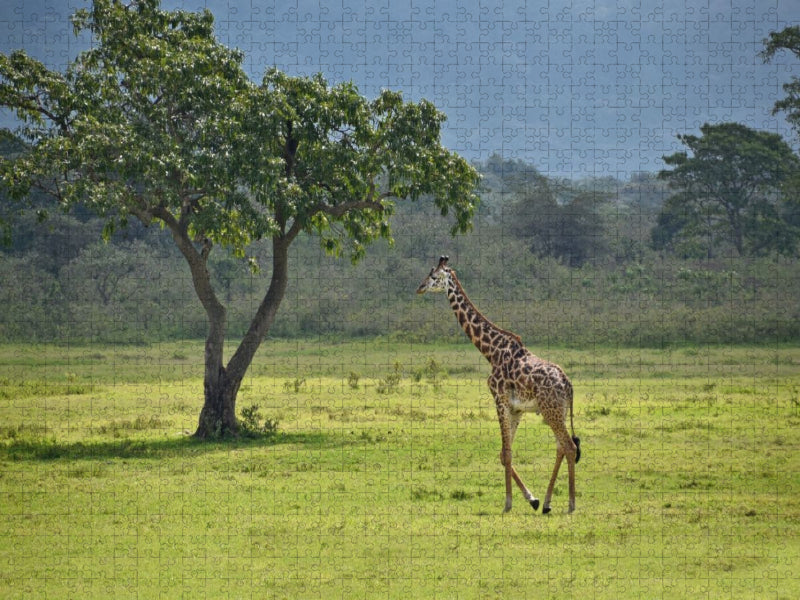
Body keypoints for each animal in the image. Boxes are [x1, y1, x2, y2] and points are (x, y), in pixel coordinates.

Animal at [416, 256, 581, 513]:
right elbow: (504, 453)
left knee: (569, 446)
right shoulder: (516, 409)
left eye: (434, 277)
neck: (490, 351)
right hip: (558, 411)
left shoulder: (499, 399)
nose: (420, 288)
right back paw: (546, 503)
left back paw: (571, 504)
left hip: (550, 410)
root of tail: (568, 384)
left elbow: (507, 453)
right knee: (561, 447)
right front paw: (532, 499)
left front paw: (508, 503)